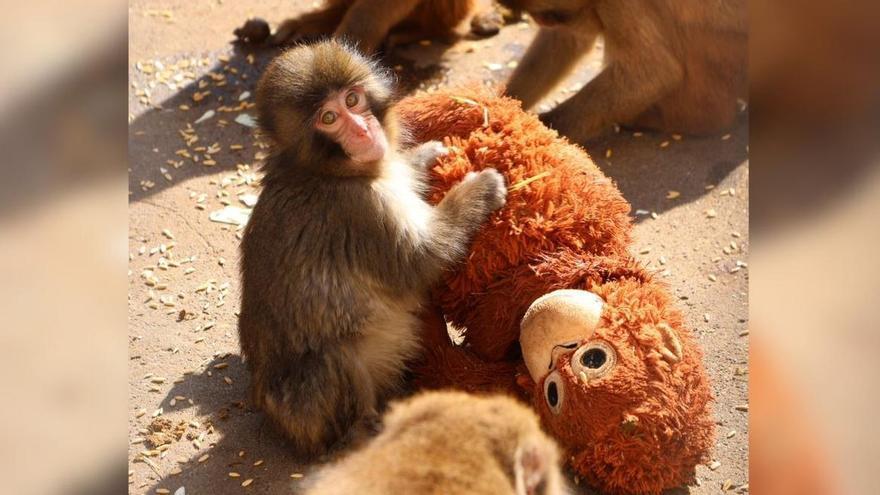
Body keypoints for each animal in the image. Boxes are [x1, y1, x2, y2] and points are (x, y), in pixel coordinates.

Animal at [238, 40, 507, 459]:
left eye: (353, 99)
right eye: (329, 117)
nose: (364, 130)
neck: (326, 171)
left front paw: (423, 156)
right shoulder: (360, 210)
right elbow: (421, 260)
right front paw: (478, 190)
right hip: (308, 410)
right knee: (334, 358)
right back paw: (366, 430)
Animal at [500, 0, 748, 142]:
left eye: (545, 13)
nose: (541, 20)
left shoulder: (620, 2)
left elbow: (654, 72)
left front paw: (541, 132)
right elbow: (567, 39)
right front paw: (503, 102)